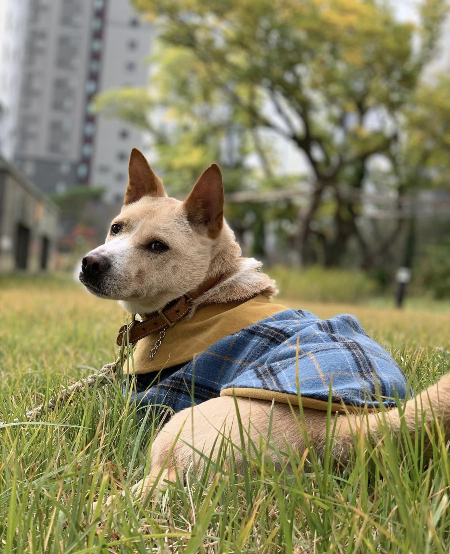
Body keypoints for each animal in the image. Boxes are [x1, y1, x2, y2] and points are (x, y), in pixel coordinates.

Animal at [79, 149, 450, 502]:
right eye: (116, 228)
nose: (90, 263)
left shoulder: (151, 395)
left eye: (158, 246)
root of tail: (339, 429)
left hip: (177, 433)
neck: (200, 294)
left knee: (156, 484)